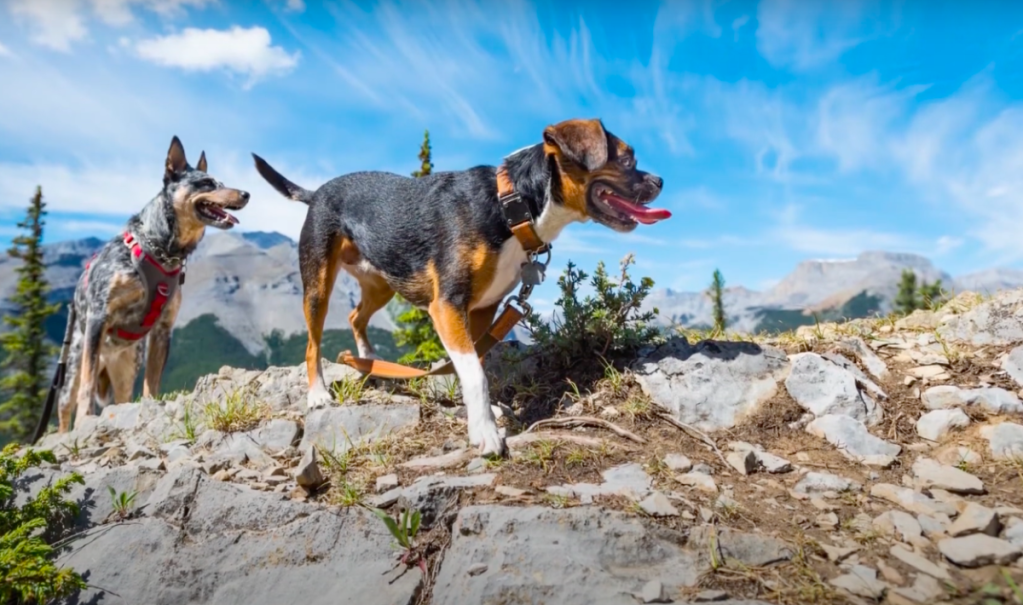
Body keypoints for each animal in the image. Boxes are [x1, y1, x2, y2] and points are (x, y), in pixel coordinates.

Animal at [39, 137, 249, 436]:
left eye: (222, 182)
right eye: (207, 183)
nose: (246, 194)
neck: (161, 250)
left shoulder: (163, 328)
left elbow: (153, 380)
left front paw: (151, 406)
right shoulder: (98, 317)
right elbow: (87, 388)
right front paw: (84, 421)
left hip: (126, 368)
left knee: (121, 397)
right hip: (74, 361)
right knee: (66, 403)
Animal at [253, 118, 671, 456]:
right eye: (628, 159)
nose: (660, 180)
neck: (511, 205)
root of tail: (316, 192)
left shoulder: (483, 308)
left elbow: (476, 362)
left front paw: (485, 411)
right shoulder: (447, 304)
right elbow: (474, 372)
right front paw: (485, 431)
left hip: (383, 282)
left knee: (356, 316)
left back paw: (370, 360)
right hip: (318, 283)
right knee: (313, 343)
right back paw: (318, 394)